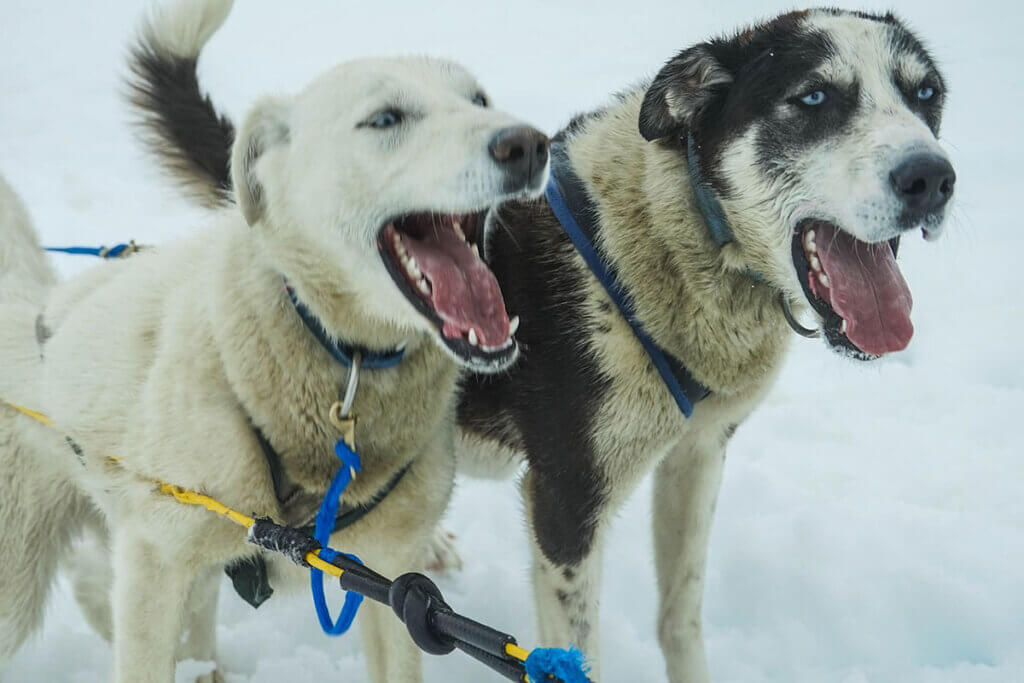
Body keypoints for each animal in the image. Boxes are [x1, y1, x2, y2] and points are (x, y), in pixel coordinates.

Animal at [96, 2, 958, 679]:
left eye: (927, 94)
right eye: (812, 97)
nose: (932, 177)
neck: (676, 239)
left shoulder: (696, 455)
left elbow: (680, 615)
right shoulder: (567, 502)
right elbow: (574, 651)